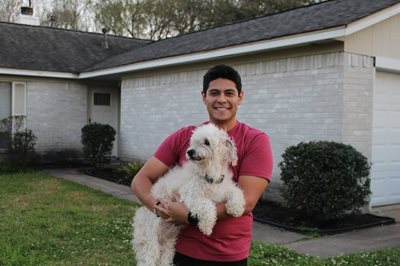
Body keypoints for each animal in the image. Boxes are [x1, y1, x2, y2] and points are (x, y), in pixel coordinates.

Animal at [132, 124, 244, 266]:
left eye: (206, 142)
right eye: (193, 142)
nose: (190, 151)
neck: (208, 176)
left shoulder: (223, 188)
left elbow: (237, 192)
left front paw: (236, 208)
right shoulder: (189, 197)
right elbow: (207, 205)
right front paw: (207, 226)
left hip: (168, 247)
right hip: (150, 241)